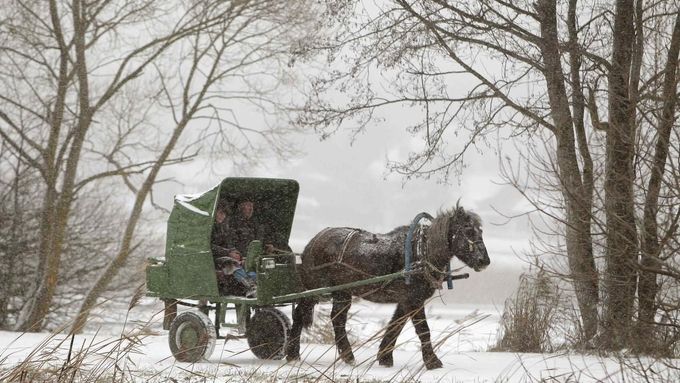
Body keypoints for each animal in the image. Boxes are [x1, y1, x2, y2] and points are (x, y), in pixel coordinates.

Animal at [286, 206, 488, 370]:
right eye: (468, 230)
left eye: (480, 231)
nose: (484, 261)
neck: (421, 253)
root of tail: (312, 242)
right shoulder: (413, 300)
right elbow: (423, 330)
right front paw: (432, 362)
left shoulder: (405, 301)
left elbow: (395, 326)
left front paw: (385, 358)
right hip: (313, 290)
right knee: (300, 315)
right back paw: (293, 355)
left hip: (342, 292)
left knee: (337, 319)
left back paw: (347, 356)